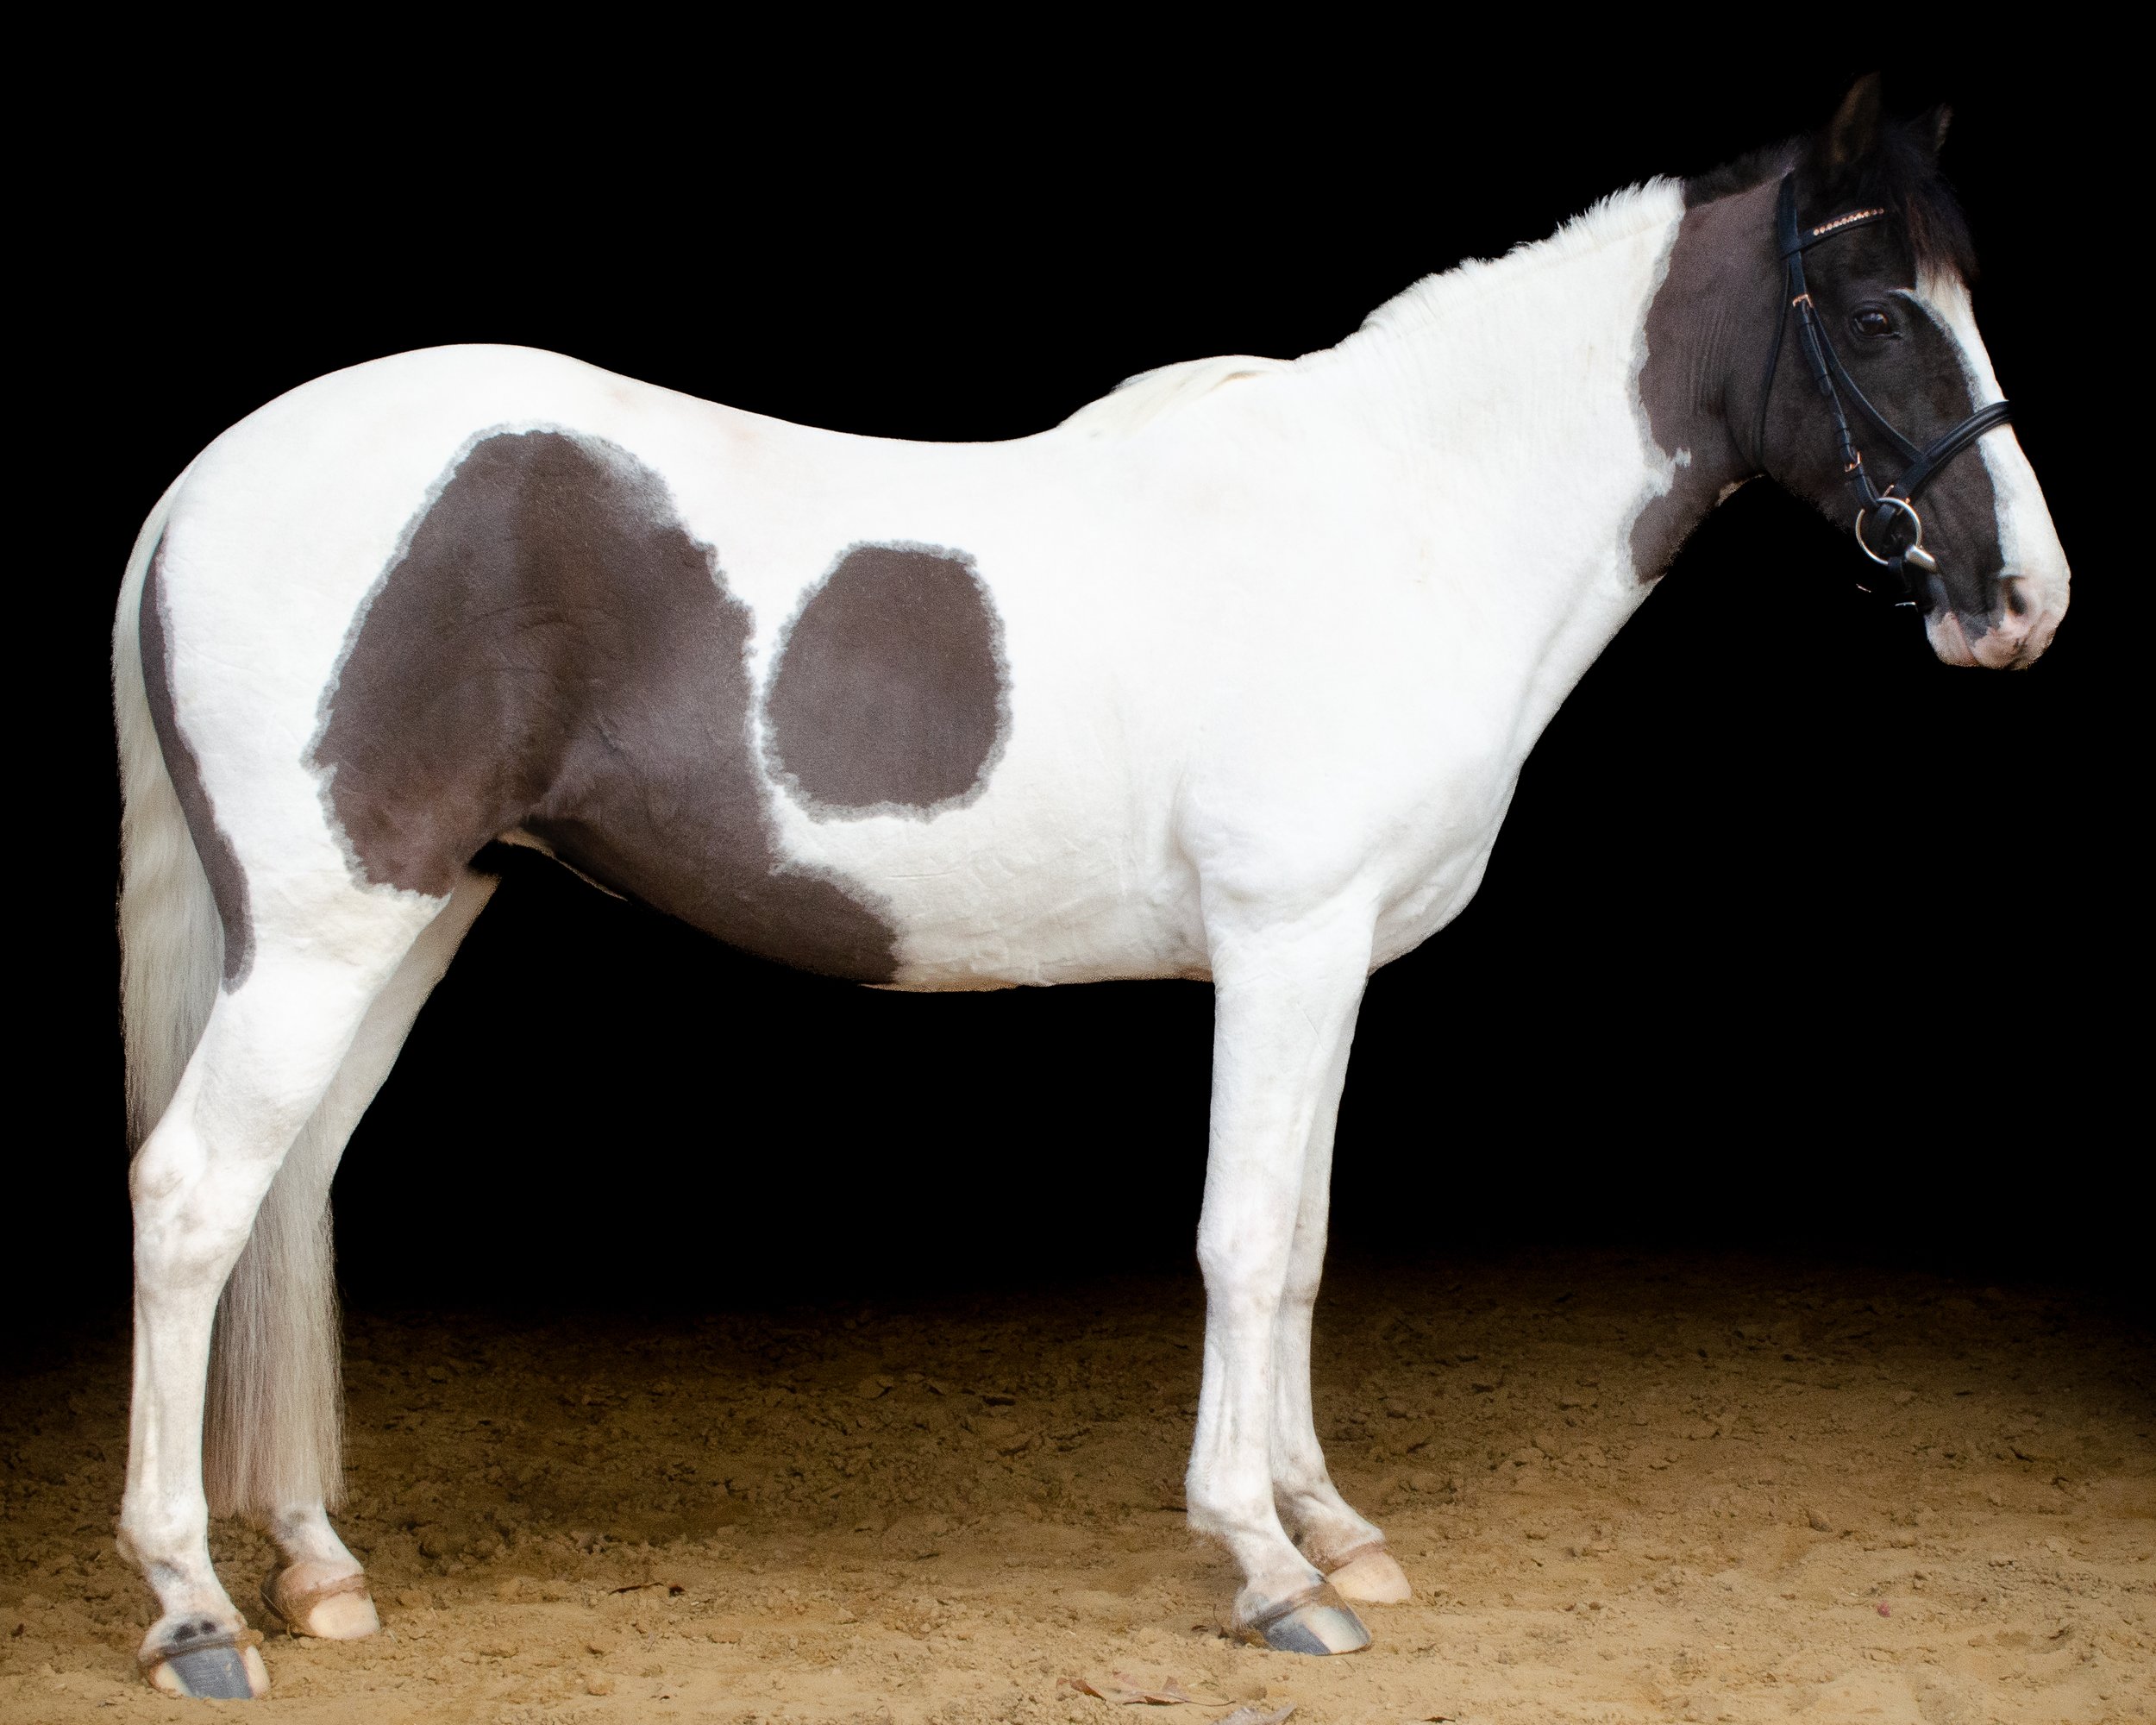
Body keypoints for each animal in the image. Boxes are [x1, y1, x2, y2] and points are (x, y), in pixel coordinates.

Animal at [110, 77, 2067, 1699]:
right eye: (1878, 316)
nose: (2022, 601)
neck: (1403, 517)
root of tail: (205, 479)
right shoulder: (1283, 947)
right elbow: (1240, 1239)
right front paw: (1269, 1567)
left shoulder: (1334, 967)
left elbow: (1300, 1248)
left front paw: (1333, 1522)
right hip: (325, 936)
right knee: (196, 1196)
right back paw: (195, 1608)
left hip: (407, 924)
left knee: (290, 1199)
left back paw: (315, 1567)